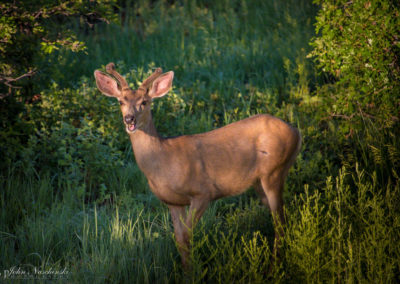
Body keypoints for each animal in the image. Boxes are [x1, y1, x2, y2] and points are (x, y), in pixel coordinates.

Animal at [93, 63, 300, 270]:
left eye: (144, 102)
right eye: (120, 101)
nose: (129, 119)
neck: (163, 162)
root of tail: (296, 131)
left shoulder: (203, 192)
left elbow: (187, 237)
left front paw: (194, 271)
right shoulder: (173, 202)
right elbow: (179, 239)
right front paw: (186, 271)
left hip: (274, 172)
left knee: (280, 222)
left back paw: (275, 265)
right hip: (259, 182)